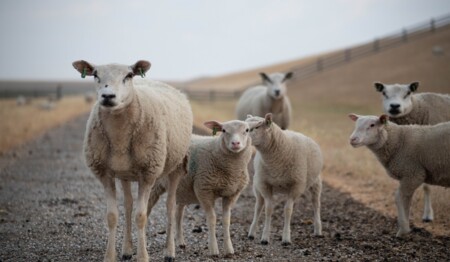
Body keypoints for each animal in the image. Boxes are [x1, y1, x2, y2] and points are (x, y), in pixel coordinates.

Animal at [71, 59, 192, 262]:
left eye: (129, 75)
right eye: (95, 74)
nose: (108, 96)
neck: (119, 136)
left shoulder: (148, 174)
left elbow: (141, 216)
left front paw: (143, 257)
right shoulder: (105, 174)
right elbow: (112, 215)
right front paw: (110, 256)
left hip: (176, 165)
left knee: (170, 206)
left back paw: (170, 251)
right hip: (125, 174)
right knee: (128, 205)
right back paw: (127, 250)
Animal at [148, 120, 253, 256]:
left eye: (247, 130)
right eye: (224, 130)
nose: (236, 143)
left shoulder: (231, 194)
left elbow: (226, 220)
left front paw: (229, 249)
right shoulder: (204, 189)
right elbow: (212, 218)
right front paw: (214, 249)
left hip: (182, 189)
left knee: (178, 214)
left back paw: (180, 242)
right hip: (155, 185)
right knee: (147, 208)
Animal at [246, 113, 324, 246]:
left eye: (257, 127)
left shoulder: (296, 186)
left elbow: (288, 210)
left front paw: (286, 238)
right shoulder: (265, 185)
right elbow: (268, 209)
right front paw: (265, 237)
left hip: (316, 182)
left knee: (316, 204)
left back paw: (318, 230)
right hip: (257, 185)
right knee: (258, 206)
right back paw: (251, 233)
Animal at [372, 82, 450, 223]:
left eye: (408, 93)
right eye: (384, 93)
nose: (395, 106)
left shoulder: (430, 154)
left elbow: (426, 186)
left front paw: (428, 215)